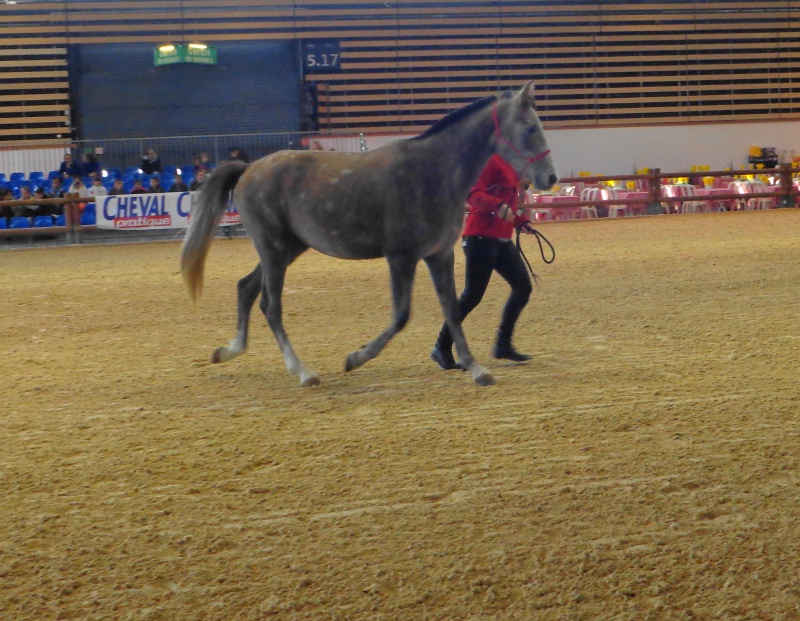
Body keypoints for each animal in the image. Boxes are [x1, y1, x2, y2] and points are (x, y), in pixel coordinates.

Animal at [181, 80, 556, 386]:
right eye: (529, 128)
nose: (550, 178)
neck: (433, 171)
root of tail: (248, 168)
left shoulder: (439, 255)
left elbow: (451, 309)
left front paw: (474, 367)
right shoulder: (401, 256)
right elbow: (401, 316)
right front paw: (355, 358)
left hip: (288, 247)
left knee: (245, 288)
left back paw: (228, 351)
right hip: (272, 247)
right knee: (271, 306)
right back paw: (302, 372)